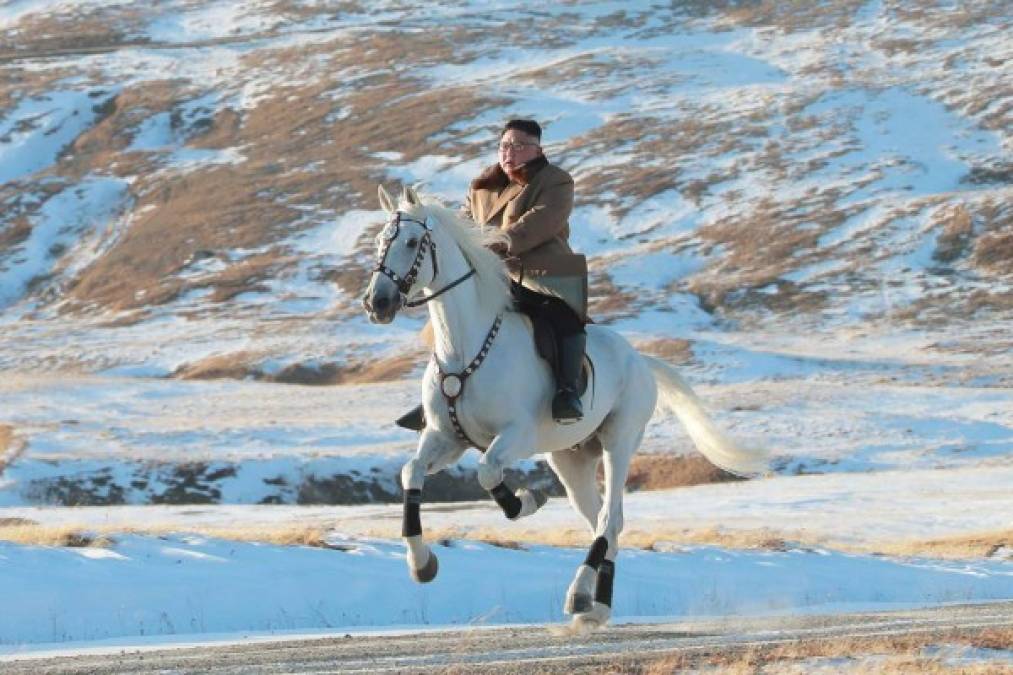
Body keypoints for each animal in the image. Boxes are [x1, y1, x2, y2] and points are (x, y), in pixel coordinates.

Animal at [360, 182, 761, 624]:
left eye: (412, 242)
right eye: (379, 242)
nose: (377, 303)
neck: (465, 348)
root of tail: (640, 359)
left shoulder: (515, 435)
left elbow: (487, 472)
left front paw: (525, 501)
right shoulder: (445, 438)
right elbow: (411, 473)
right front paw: (421, 564)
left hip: (618, 442)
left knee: (609, 518)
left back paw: (580, 597)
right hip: (571, 460)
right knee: (604, 523)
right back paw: (594, 605)